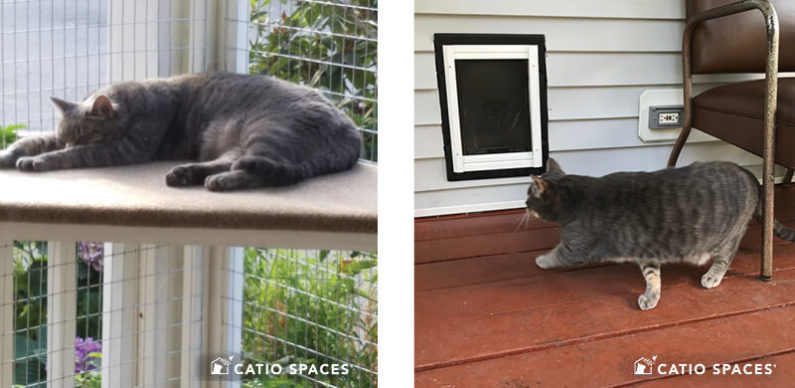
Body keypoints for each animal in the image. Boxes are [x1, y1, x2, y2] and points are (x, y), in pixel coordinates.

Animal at [0, 72, 360, 191]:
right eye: (66, 136)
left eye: (87, 135)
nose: (66, 142)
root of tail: (353, 135)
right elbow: (35, 140)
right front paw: (11, 154)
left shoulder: (125, 149)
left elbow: (72, 155)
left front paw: (40, 161)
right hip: (239, 143)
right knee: (229, 162)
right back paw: (185, 174)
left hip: (268, 132)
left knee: (262, 173)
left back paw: (218, 181)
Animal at [524, 158, 795, 310]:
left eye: (529, 194)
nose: (525, 204)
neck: (575, 196)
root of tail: (750, 174)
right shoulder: (646, 250)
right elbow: (653, 277)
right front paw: (652, 296)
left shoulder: (575, 247)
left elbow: (557, 255)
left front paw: (541, 260)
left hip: (726, 238)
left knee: (727, 255)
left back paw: (713, 276)